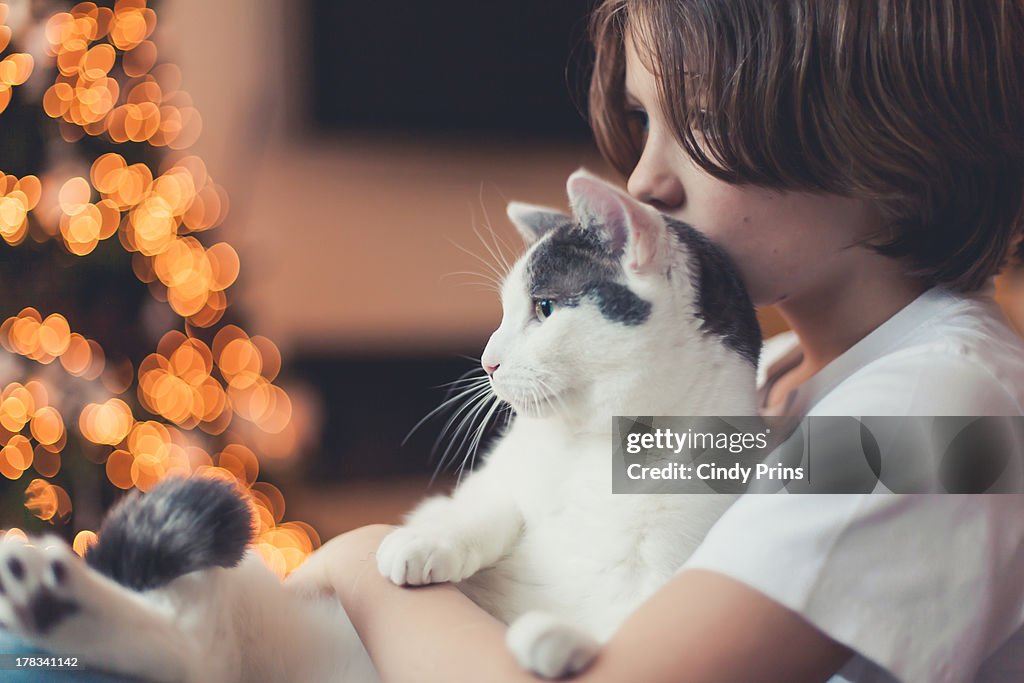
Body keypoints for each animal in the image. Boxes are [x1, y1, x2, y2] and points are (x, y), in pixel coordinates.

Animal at [0, 167, 761, 679]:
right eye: (508, 310)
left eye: (545, 308)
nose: (487, 359)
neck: (594, 449)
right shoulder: (498, 482)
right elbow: (482, 507)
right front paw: (423, 544)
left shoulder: (678, 560)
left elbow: (635, 618)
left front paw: (559, 640)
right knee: (185, 639)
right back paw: (45, 595)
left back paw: (48, 600)